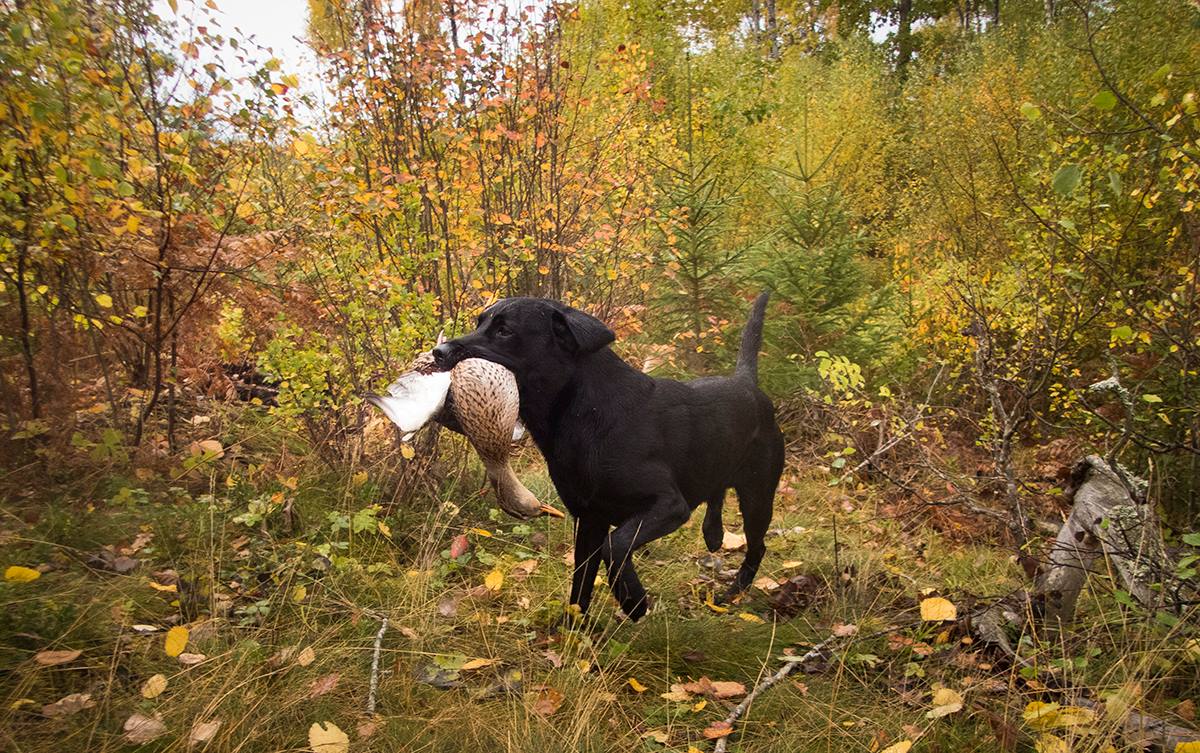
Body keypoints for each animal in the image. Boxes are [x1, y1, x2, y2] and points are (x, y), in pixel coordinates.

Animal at [434, 291, 787, 618]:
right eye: (479, 322)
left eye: (505, 331)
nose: (439, 352)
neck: (587, 414)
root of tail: (747, 382)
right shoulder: (590, 519)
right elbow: (580, 584)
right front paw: (571, 630)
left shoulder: (668, 505)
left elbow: (615, 546)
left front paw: (633, 600)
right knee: (716, 491)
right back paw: (713, 534)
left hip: (758, 496)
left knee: (757, 546)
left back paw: (732, 592)